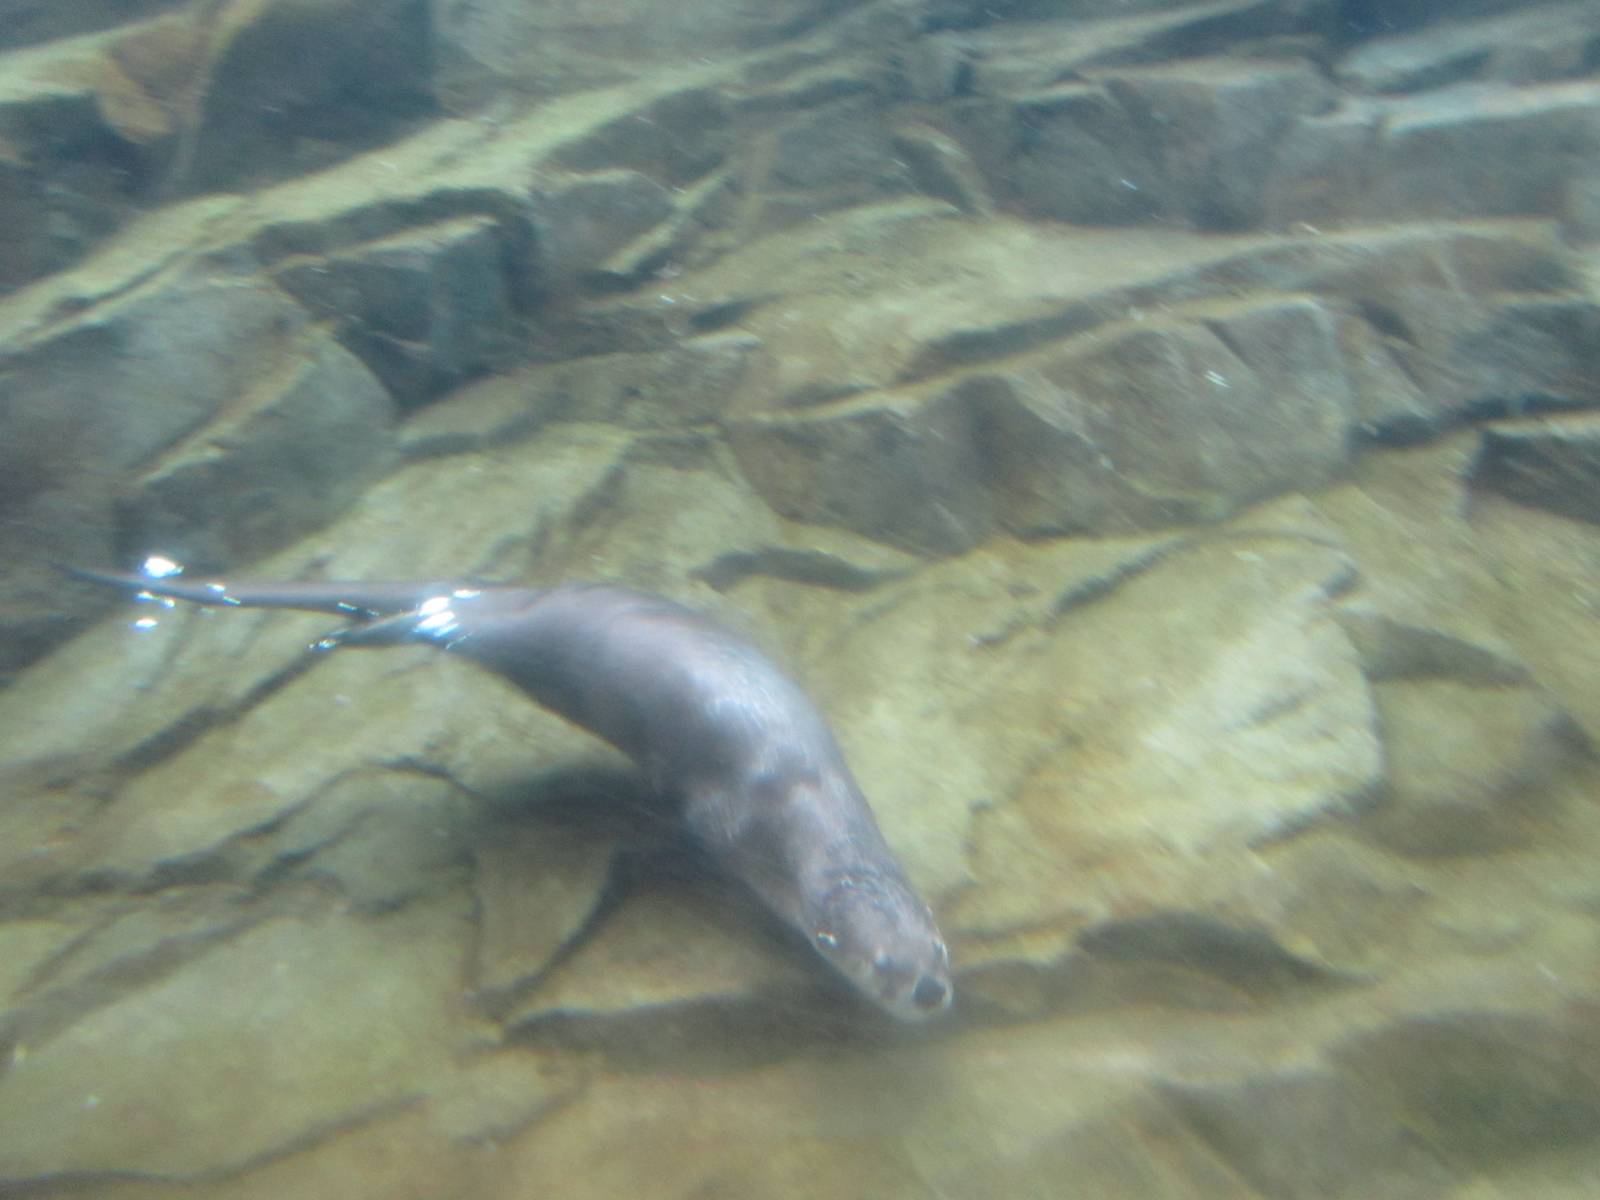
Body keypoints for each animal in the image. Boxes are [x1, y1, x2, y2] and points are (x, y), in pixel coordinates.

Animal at [78, 569, 953, 1020]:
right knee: (419, 621)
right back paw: (346, 632)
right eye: (882, 966)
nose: (934, 990)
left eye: (936, 951)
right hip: (508, 632)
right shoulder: (722, 809)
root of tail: (487, 594)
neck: (800, 797)